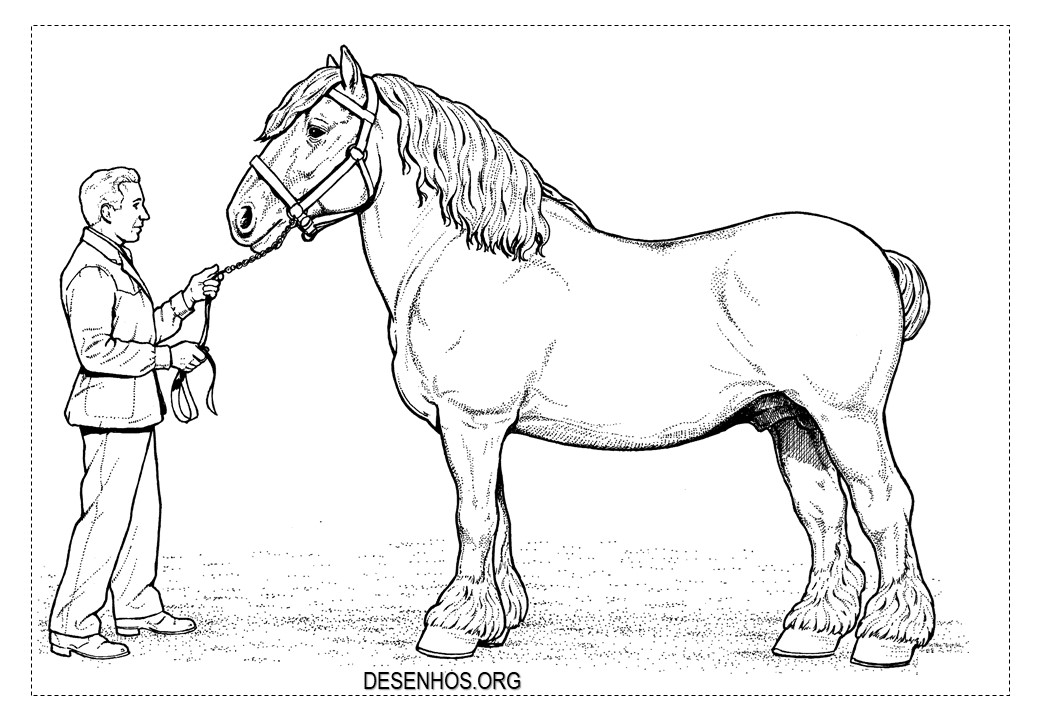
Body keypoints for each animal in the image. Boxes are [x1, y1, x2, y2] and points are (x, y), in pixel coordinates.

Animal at [226, 45, 935, 668]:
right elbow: (499, 518)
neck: (470, 261)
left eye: (317, 127)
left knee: (884, 504)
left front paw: (450, 627)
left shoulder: (471, 423)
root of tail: (876, 255)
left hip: (846, 418)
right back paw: (811, 631)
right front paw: (493, 621)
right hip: (794, 422)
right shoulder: (486, 429)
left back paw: (887, 638)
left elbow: (473, 519)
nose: (243, 217)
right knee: (823, 513)